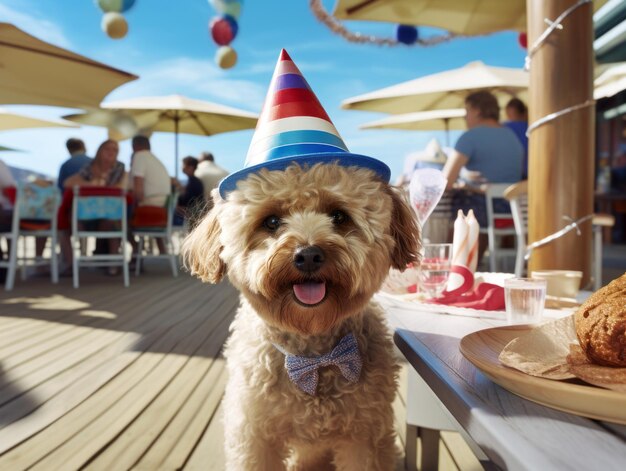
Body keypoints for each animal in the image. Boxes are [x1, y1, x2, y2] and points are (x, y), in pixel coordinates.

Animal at [184, 161, 420, 468]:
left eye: (338, 216)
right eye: (271, 221)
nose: (308, 255)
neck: (312, 356)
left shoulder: (365, 435)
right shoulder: (253, 435)